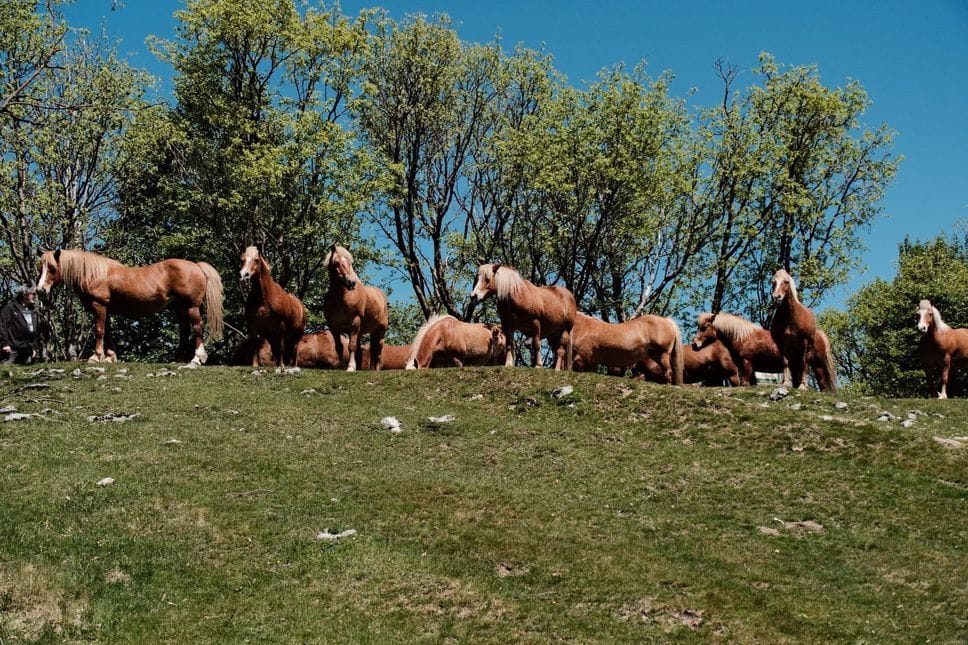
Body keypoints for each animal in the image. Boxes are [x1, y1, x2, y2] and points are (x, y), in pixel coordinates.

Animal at [36, 248, 223, 364]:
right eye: (39, 268)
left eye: (52, 268)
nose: (40, 290)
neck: (95, 274)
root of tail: (197, 266)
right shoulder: (106, 310)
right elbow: (108, 333)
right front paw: (110, 357)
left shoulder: (99, 306)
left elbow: (99, 331)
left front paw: (96, 357)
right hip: (180, 308)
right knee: (184, 332)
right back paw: (178, 360)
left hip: (192, 307)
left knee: (197, 328)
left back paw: (197, 358)